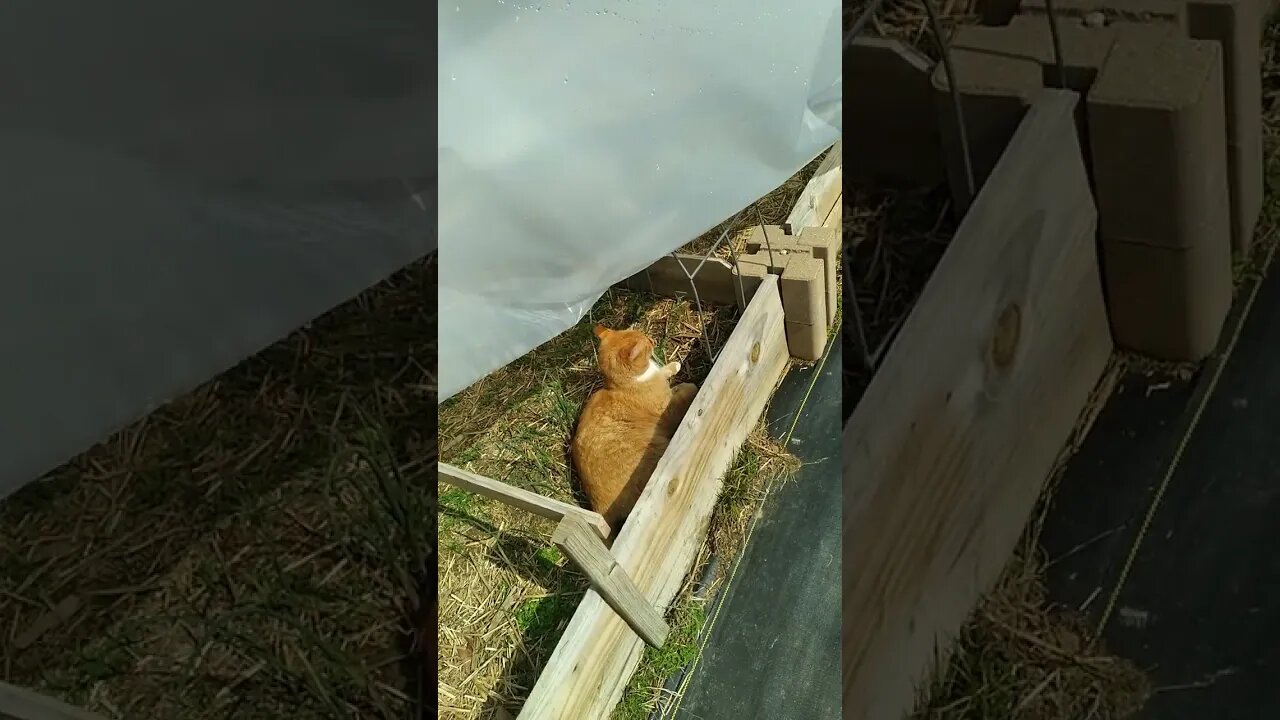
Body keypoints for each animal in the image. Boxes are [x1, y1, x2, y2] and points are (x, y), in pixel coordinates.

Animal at [576, 322, 701, 530]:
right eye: (647, 343)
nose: (652, 339)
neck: (625, 384)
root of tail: (600, 510)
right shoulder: (668, 410)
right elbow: (684, 390)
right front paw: (689, 386)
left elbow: (664, 371)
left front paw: (672, 366)